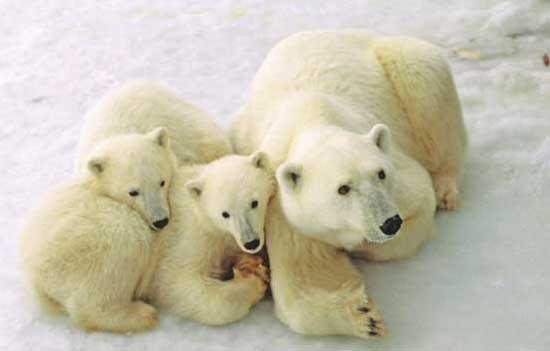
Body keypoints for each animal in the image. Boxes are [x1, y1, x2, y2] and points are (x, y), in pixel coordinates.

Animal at [20, 129, 175, 332]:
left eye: (162, 182)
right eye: (133, 192)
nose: (161, 221)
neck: (96, 186)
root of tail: (37, 281)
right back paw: (142, 314)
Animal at [143, 153, 276, 326]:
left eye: (254, 203)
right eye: (225, 214)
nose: (251, 242)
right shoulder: (190, 237)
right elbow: (173, 280)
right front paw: (252, 282)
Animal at [231, 31, 468, 340]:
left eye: (381, 174)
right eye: (343, 188)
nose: (390, 223)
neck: (313, 119)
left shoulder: (399, 179)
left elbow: (418, 203)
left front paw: (358, 248)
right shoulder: (284, 209)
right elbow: (302, 277)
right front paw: (364, 316)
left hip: (403, 63)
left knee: (426, 85)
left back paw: (446, 188)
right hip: (239, 130)